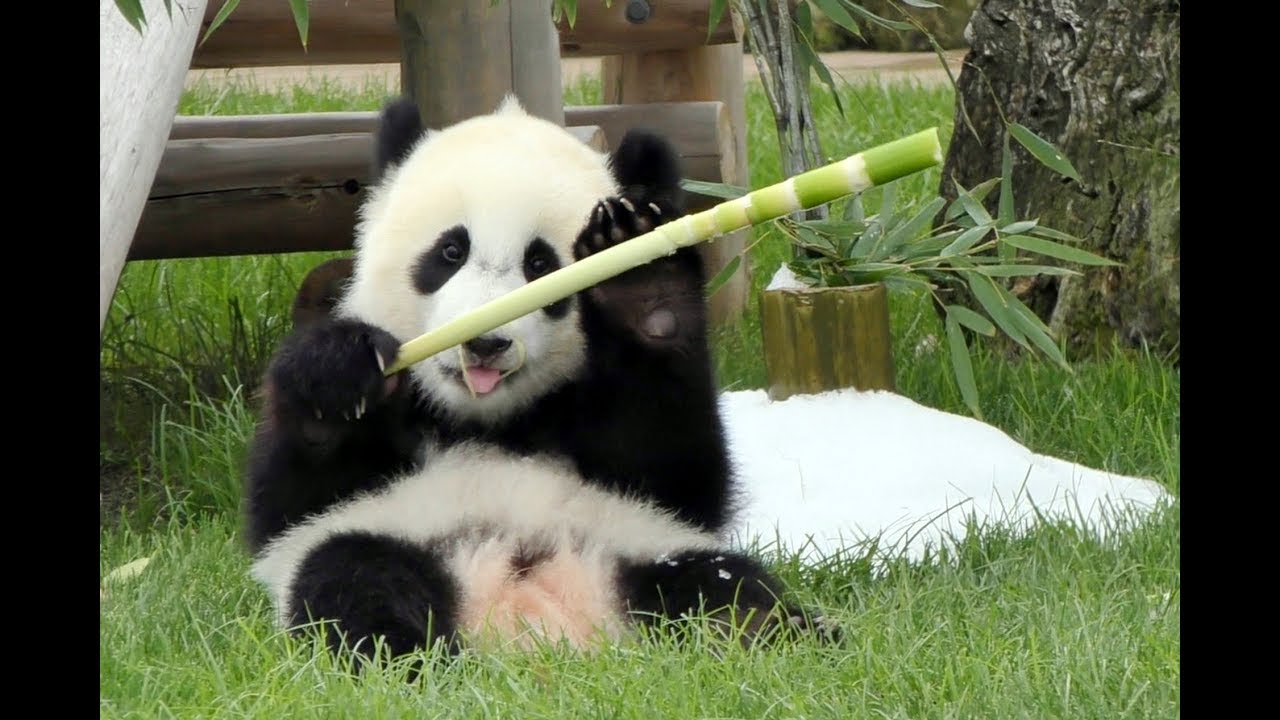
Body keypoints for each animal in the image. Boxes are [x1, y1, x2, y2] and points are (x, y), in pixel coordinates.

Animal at [243, 95, 832, 663]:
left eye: (540, 264)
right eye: (450, 251)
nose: (486, 343)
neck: (490, 420)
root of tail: (531, 613)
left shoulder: (649, 480)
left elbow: (677, 463)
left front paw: (640, 279)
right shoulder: (324, 505)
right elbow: (294, 498)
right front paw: (339, 373)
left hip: (640, 548)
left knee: (721, 585)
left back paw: (766, 636)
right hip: (397, 538)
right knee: (353, 580)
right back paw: (407, 661)